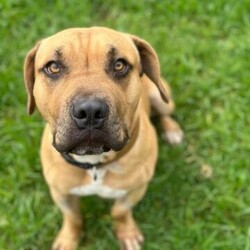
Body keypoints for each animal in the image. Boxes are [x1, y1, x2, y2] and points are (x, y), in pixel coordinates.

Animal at [23, 27, 184, 250]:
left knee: (164, 112)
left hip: (161, 97)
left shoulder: (135, 189)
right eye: (53, 67)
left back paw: (172, 131)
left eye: (119, 64)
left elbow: (119, 212)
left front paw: (127, 232)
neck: (95, 165)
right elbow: (73, 217)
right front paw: (68, 239)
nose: (90, 111)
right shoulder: (61, 192)